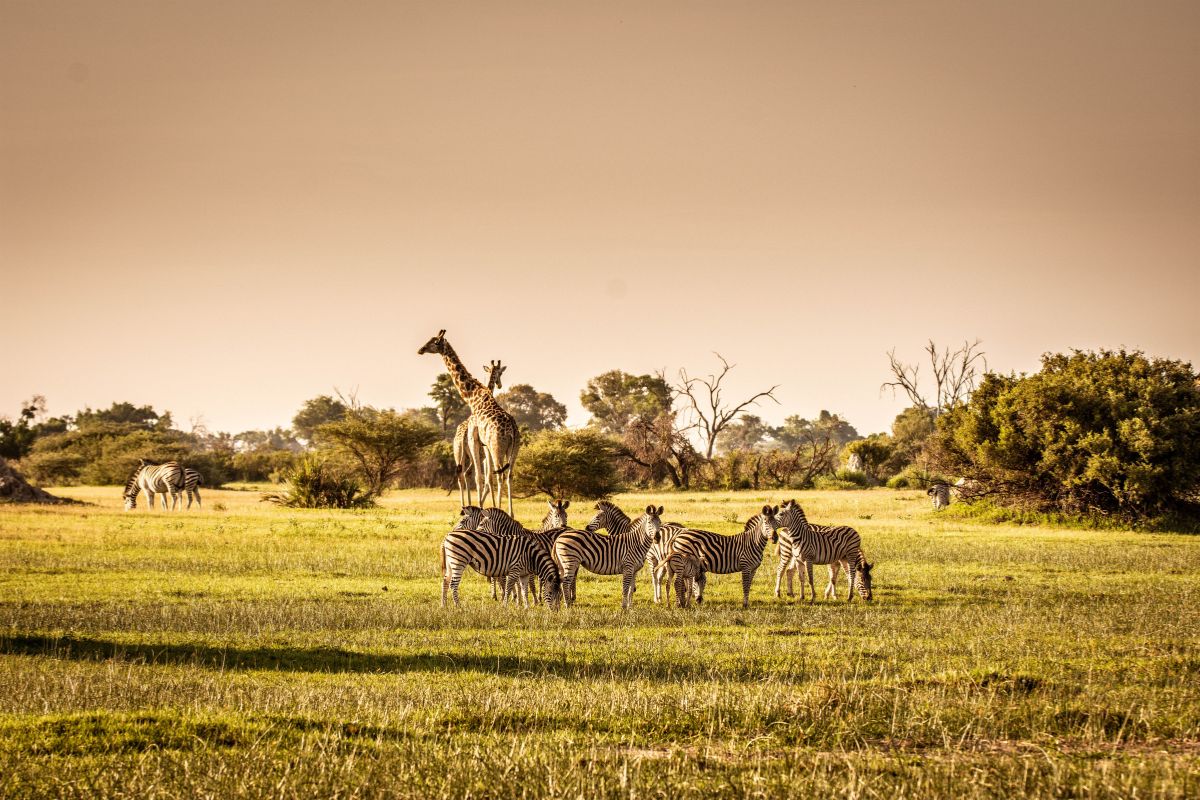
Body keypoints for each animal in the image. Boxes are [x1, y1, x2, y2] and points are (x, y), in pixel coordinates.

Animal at [451, 357, 504, 503]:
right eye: (500, 373)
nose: (500, 385)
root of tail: (461, 435)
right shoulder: (485, 453)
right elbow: (488, 478)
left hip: (459, 454)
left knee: (462, 474)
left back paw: (465, 504)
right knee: (469, 474)